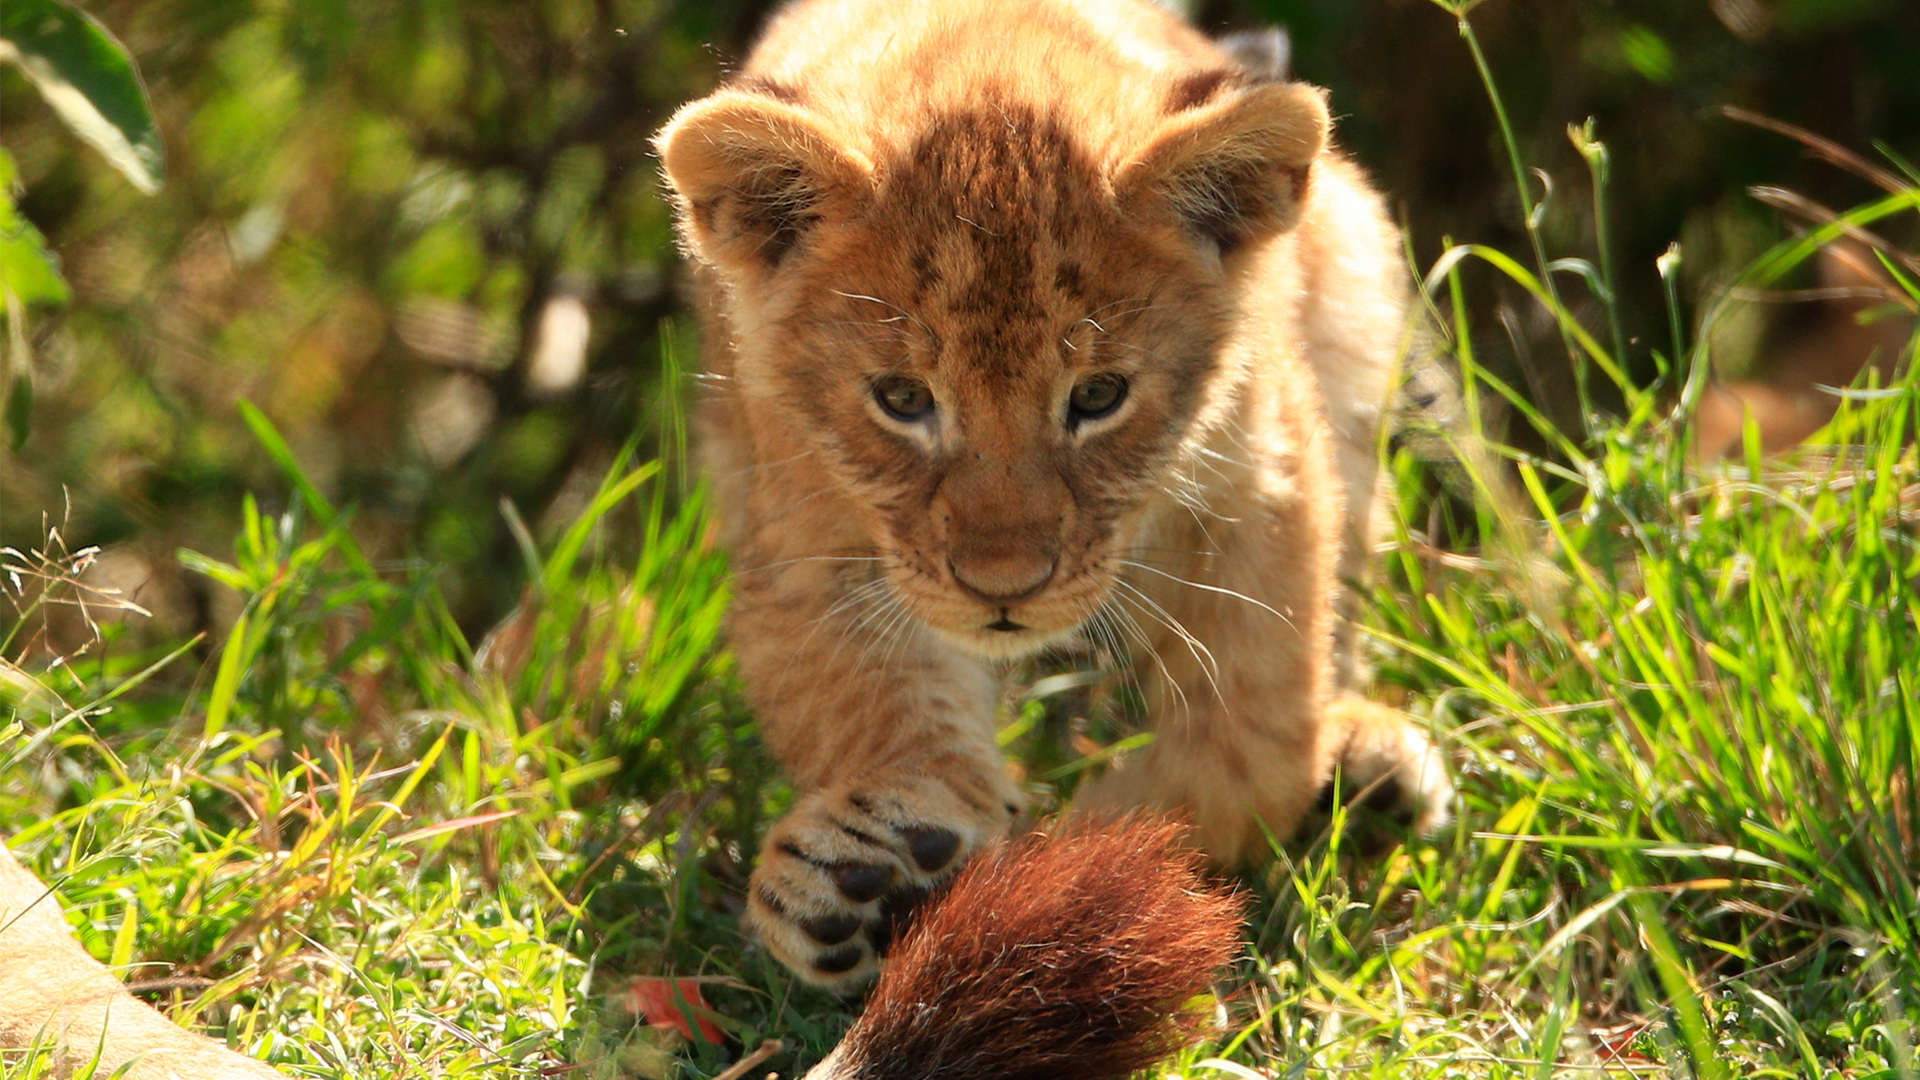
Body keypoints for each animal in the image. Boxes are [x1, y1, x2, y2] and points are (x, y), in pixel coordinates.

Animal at [656, 0, 1455, 992]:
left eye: (1099, 397)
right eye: (903, 400)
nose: (1004, 589)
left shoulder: (1264, 478)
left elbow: (1249, 747)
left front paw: (1092, 863)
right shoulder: (806, 523)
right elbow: (865, 698)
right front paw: (871, 870)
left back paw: (1368, 765)